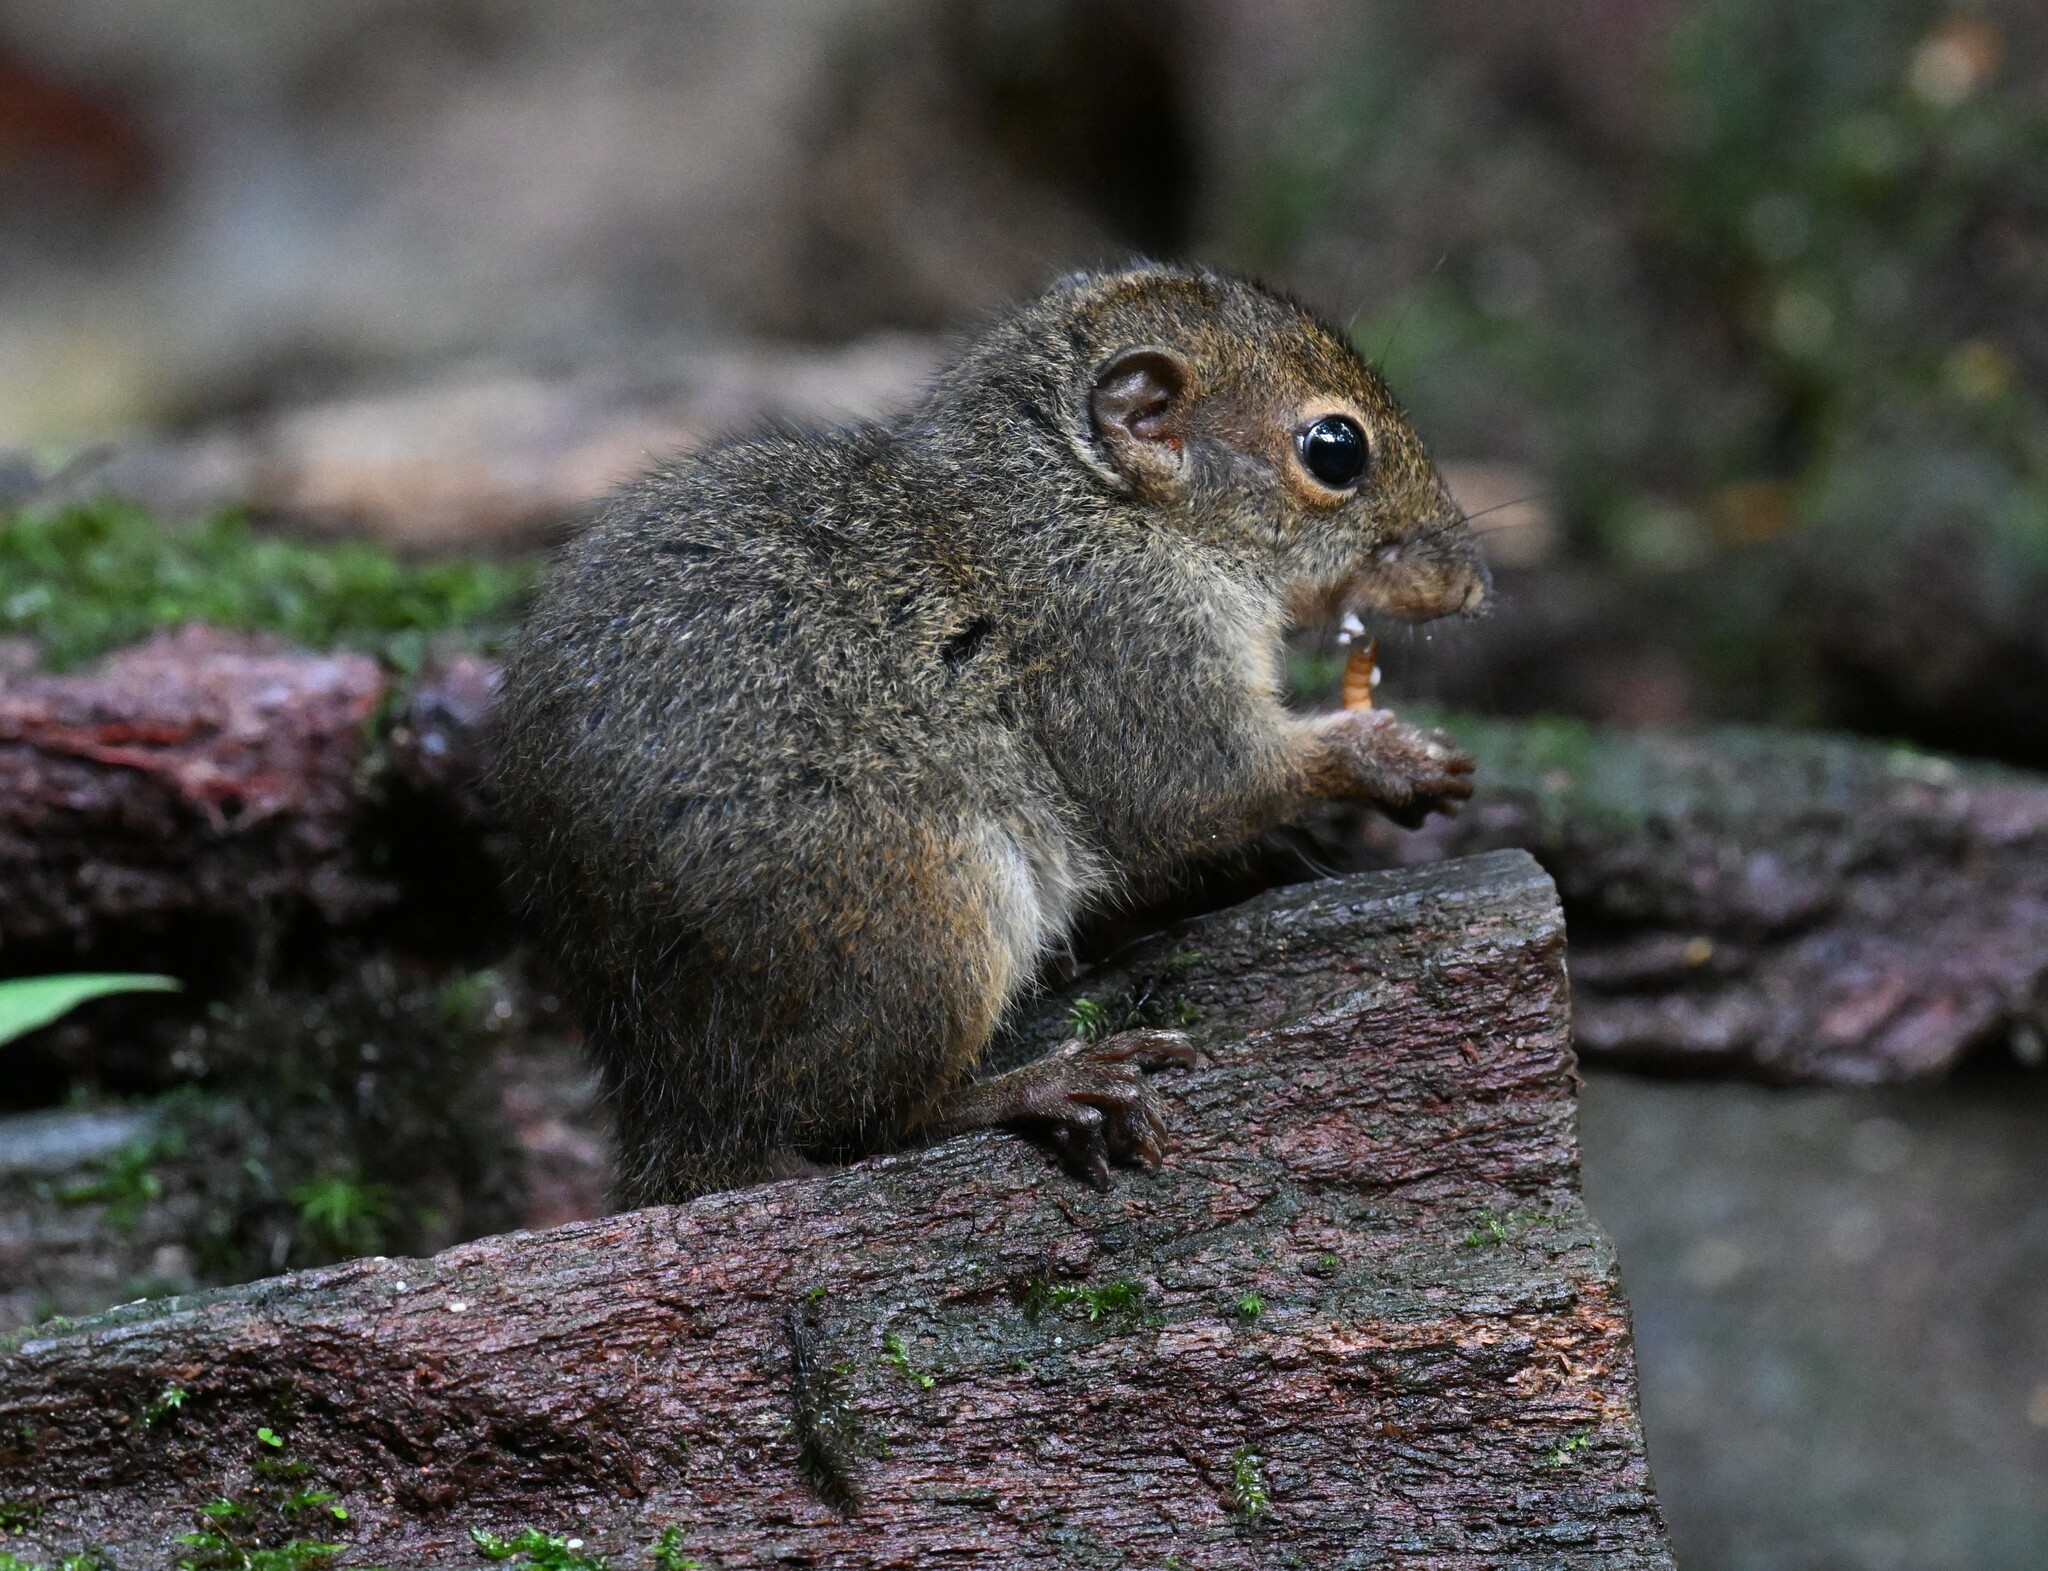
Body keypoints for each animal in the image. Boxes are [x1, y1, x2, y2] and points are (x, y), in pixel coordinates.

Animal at [493, 264, 1489, 1206]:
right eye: (1336, 449)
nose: (1473, 586)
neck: (1090, 502)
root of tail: (678, 1111)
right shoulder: (1123, 639)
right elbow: (1194, 790)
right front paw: (1384, 759)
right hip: (930, 917)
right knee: (876, 1120)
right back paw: (1046, 1085)